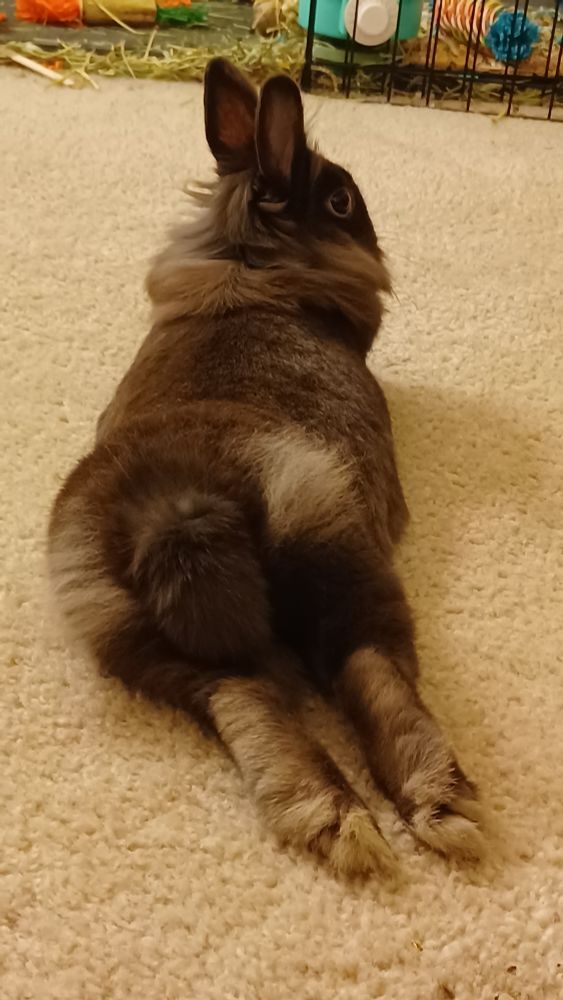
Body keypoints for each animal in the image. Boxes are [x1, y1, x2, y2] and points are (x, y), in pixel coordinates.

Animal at [48, 58, 484, 878]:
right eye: (340, 200)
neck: (251, 267)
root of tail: (176, 503)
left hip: (151, 643)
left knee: (247, 703)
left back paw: (331, 819)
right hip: (336, 550)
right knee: (371, 674)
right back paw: (440, 810)